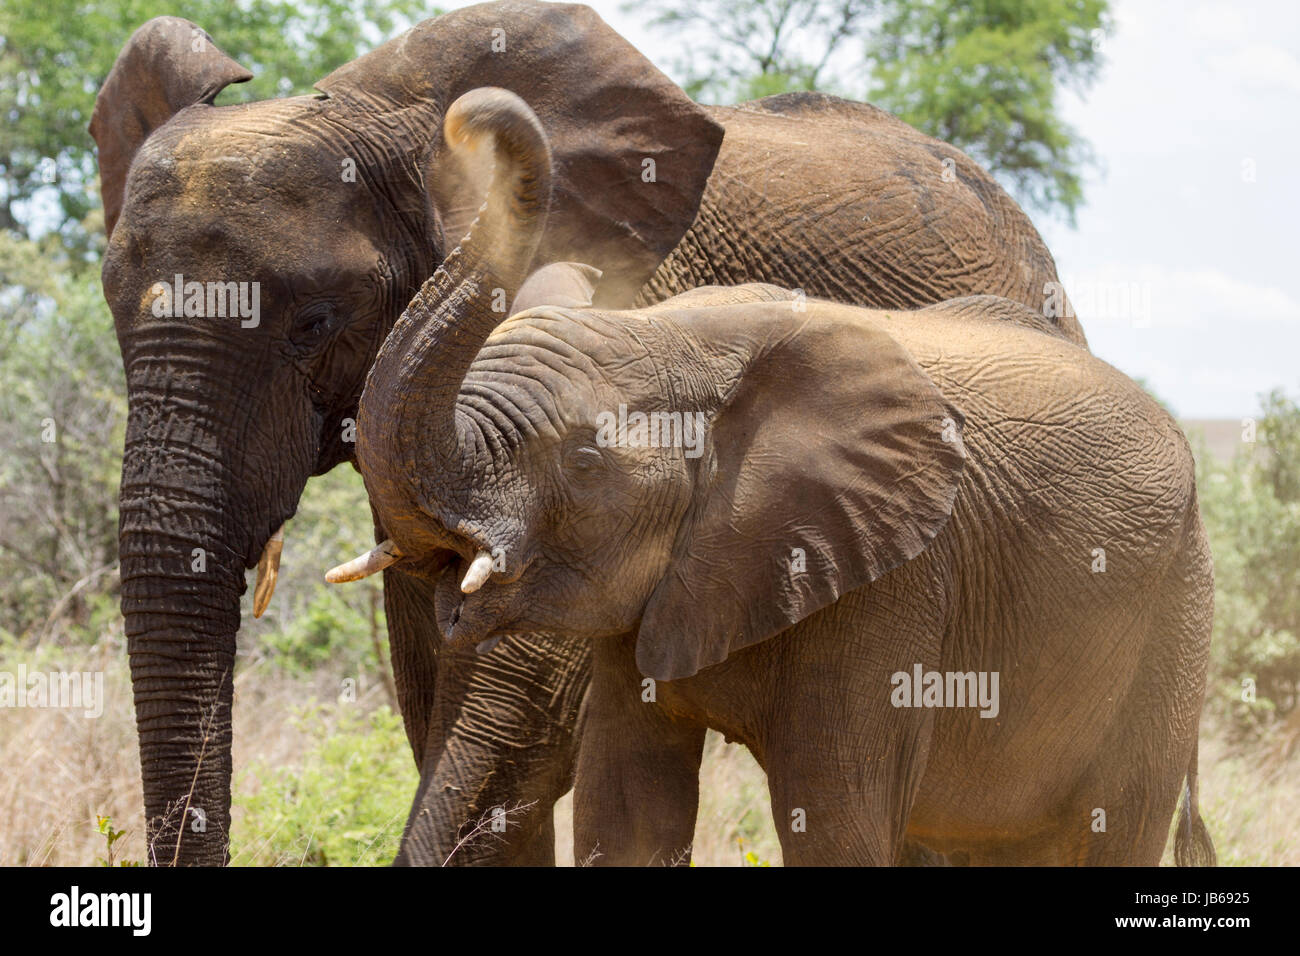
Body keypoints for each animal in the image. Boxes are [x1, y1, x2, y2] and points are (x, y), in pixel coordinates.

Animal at [327, 89, 1216, 868]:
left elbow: (833, 826)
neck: (680, 336)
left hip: (1174, 615)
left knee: (1113, 826)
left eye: (583, 464)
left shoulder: (895, 580)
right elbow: (628, 815)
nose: (468, 117)